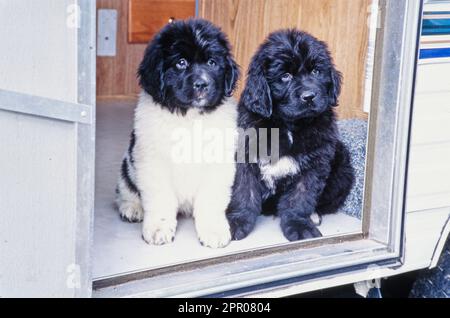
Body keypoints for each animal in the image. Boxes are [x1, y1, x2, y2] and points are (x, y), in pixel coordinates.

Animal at [115, 19, 239, 248]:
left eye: (212, 63)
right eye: (181, 63)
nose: (202, 84)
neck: (188, 118)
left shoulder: (219, 163)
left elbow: (211, 198)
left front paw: (213, 230)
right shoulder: (152, 162)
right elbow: (160, 198)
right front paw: (158, 228)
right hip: (127, 165)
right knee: (125, 188)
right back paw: (132, 208)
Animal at [229, 29, 356, 242]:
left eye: (316, 71)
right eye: (285, 76)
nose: (309, 96)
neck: (288, 125)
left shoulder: (315, 162)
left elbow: (299, 198)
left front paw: (299, 225)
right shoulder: (246, 155)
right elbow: (244, 191)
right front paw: (236, 222)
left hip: (343, 166)